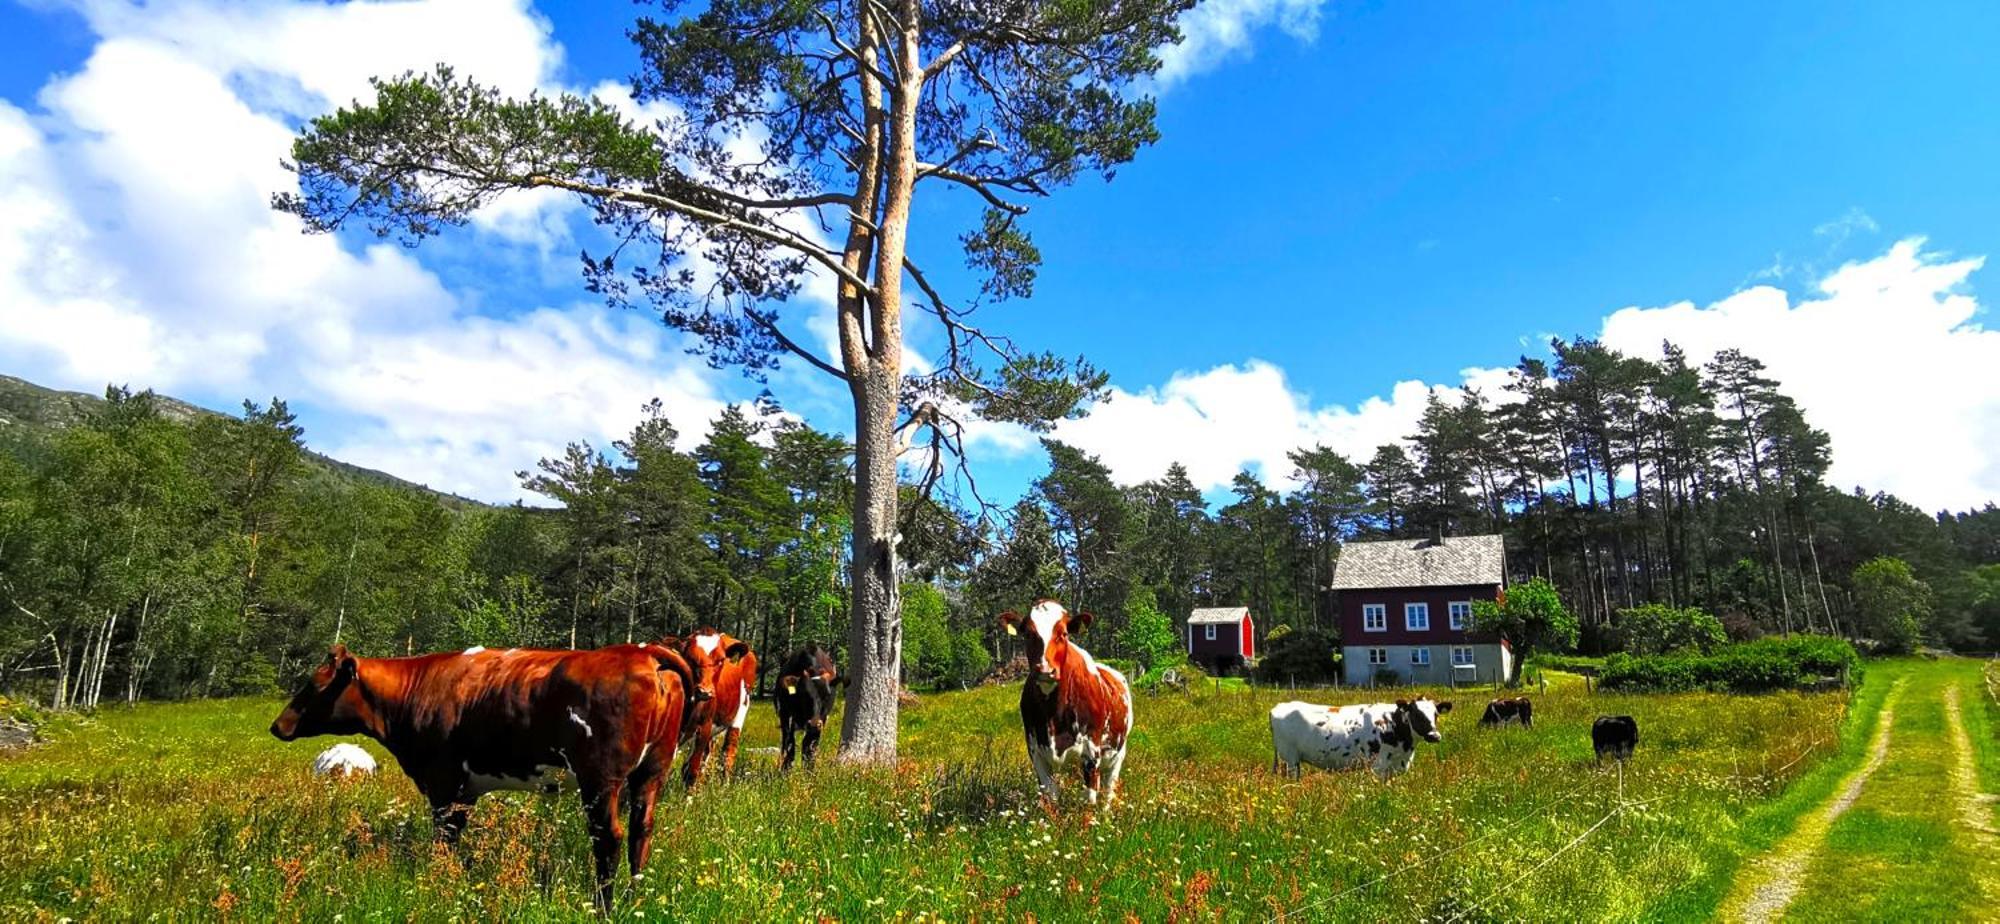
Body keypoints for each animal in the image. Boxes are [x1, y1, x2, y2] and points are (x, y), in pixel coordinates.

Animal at [266, 644, 704, 908]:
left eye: (314, 685)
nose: (277, 725)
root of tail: (640, 652)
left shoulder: (443, 781)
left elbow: (444, 837)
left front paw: (437, 882)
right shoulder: (465, 789)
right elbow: (455, 835)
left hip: (601, 778)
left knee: (608, 837)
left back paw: (604, 905)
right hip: (652, 771)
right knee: (641, 830)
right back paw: (635, 895)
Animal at [672, 628, 764, 788]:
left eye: (721, 660)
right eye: (689, 658)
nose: (705, 691)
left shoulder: (704, 727)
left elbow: (692, 771)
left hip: (739, 714)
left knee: (728, 753)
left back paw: (724, 787)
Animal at [996, 604, 1128, 804]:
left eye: (1064, 634)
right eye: (1028, 634)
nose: (1045, 670)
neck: (1053, 711)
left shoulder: (1091, 751)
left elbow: (1089, 798)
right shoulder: (1035, 751)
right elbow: (1050, 796)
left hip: (1117, 756)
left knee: (1108, 791)